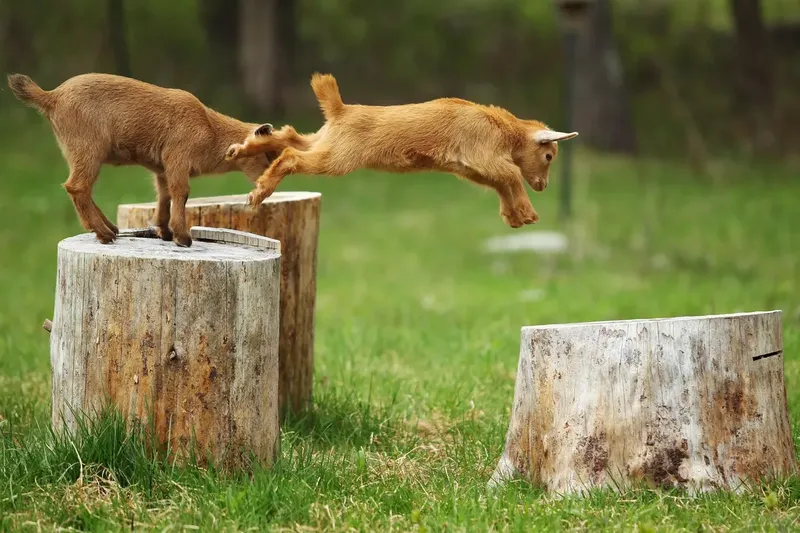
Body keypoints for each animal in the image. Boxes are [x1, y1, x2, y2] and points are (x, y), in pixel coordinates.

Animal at [7, 73, 277, 247]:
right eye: (268, 153)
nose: (270, 186)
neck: (210, 129)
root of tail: (52, 96)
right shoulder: (178, 157)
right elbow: (181, 192)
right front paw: (183, 237)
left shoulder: (162, 168)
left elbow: (165, 195)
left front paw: (164, 231)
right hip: (88, 148)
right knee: (77, 186)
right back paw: (104, 233)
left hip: (76, 151)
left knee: (81, 187)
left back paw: (110, 228)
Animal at [225, 73, 578, 228]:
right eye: (549, 156)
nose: (543, 185)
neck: (503, 128)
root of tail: (340, 110)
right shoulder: (483, 155)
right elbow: (512, 174)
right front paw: (528, 213)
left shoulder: (473, 168)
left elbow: (502, 182)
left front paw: (514, 216)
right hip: (337, 157)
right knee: (292, 156)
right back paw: (259, 192)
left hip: (324, 142)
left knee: (290, 137)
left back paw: (242, 148)